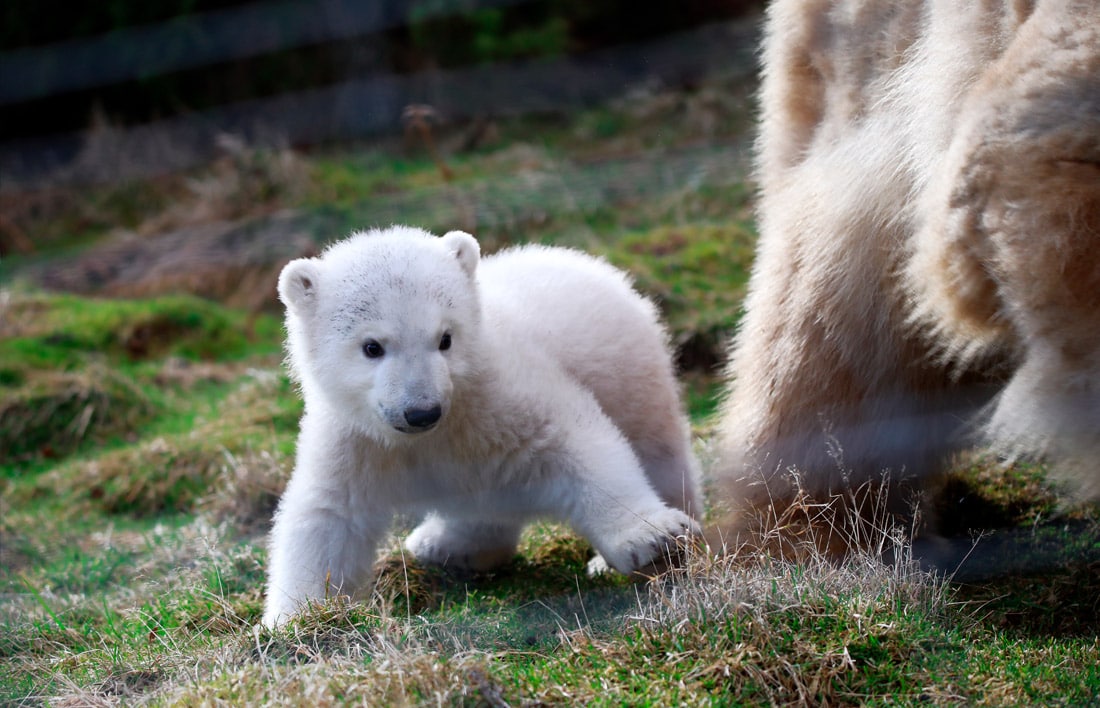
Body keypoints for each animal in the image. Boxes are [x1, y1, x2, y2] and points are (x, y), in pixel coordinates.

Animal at [261, 226, 699, 624]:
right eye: (372, 346)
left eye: (445, 338)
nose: (422, 411)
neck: (435, 433)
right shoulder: (356, 439)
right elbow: (329, 514)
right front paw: (297, 618)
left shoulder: (499, 393)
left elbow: (573, 440)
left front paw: (653, 537)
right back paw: (444, 545)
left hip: (632, 374)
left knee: (656, 449)